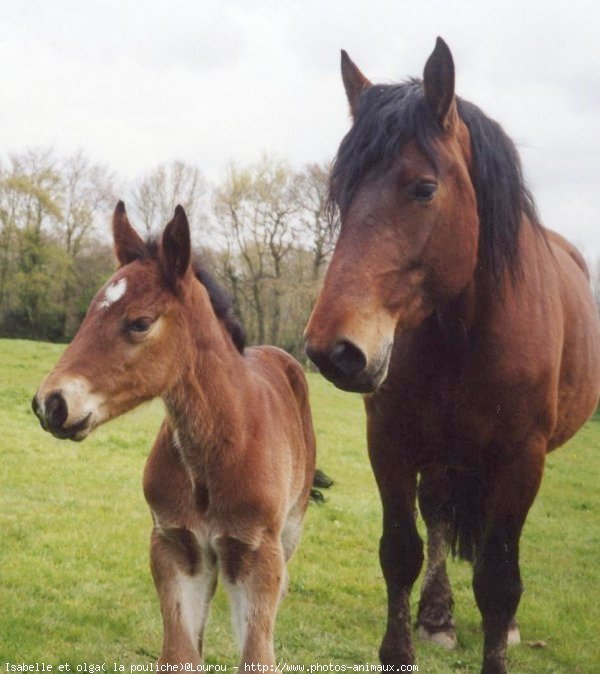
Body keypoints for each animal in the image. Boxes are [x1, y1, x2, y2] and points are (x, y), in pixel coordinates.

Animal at [34, 202, 318, 664]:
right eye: (91, 310)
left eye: (140, 322)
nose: (51, 403)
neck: (222, 449)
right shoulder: (175, 548)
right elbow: (181, 654)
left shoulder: (258, 557)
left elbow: (258, 655)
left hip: (289, 531)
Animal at [308, 36, 596, 672]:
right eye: (342, 193)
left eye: (423, 188)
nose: (332, 351)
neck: (466, 332)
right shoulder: (389, 442)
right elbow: (400, 553)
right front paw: (406, 644)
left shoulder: (521, 458)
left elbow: (499, 579)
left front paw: (499, 636)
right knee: (439, 513)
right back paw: (438, 616)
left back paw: (503, 627)